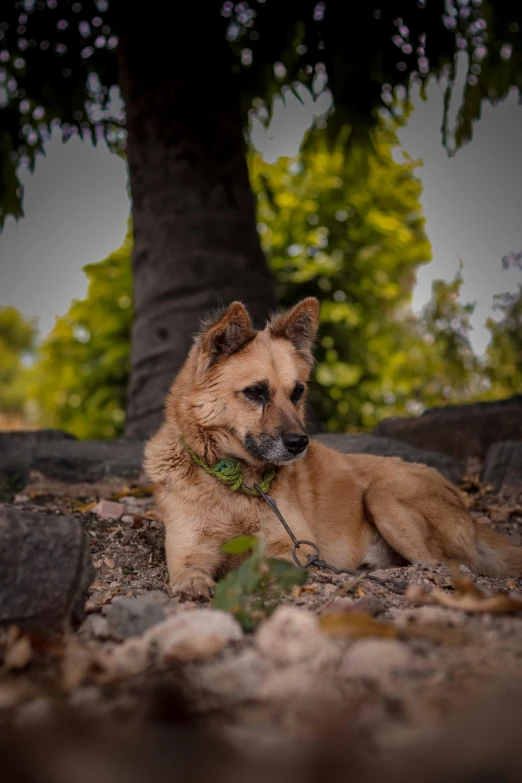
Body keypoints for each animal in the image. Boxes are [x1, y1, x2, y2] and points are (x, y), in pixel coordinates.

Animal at [143, 298, 520, 596]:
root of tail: (464, 507)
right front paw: (195, 584)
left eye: (297, 392)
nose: (299, 444)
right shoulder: (189, 549)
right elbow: (190, 570)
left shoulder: (291, 546)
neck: (235, 480)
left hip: (383, 496)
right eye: (255, 392)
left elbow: (272, 564)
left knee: (442, 565)